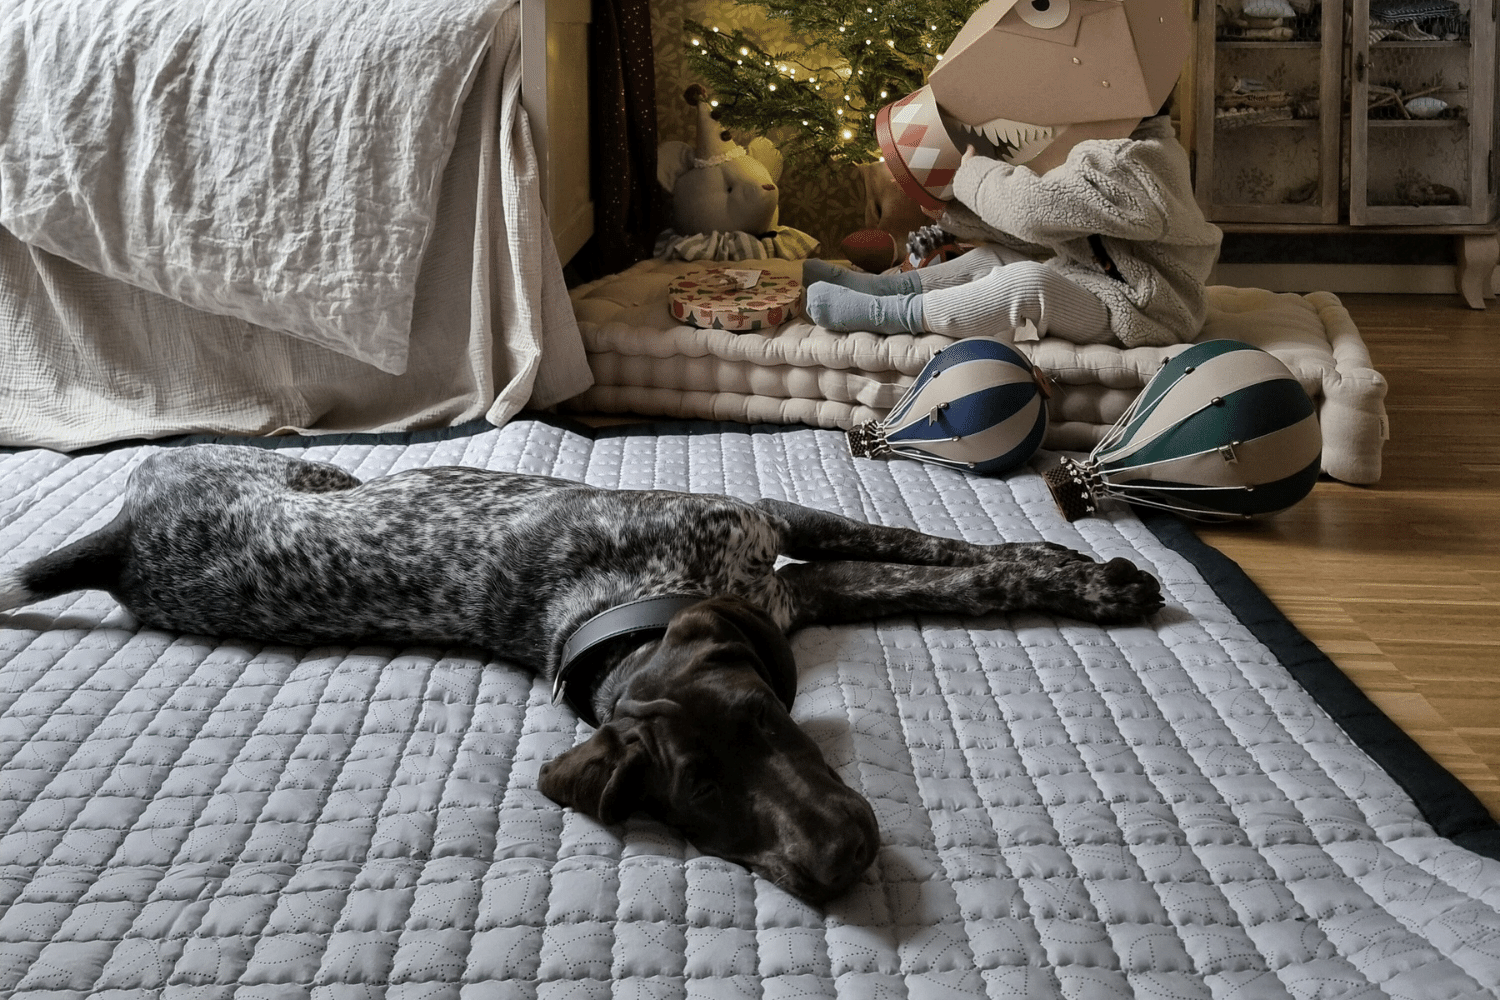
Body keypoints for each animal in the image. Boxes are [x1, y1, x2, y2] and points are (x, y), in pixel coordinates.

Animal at [0, 449, 1158, 905]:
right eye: (691, 796)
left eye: (763, 716)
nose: (839, 863)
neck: (626, 597)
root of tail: (117, 543)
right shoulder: (801, 584)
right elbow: (961, 571)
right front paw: (1086, 577)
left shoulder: (788, 539)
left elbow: (948, 553)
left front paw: (1083, 570)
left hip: (318, 472)